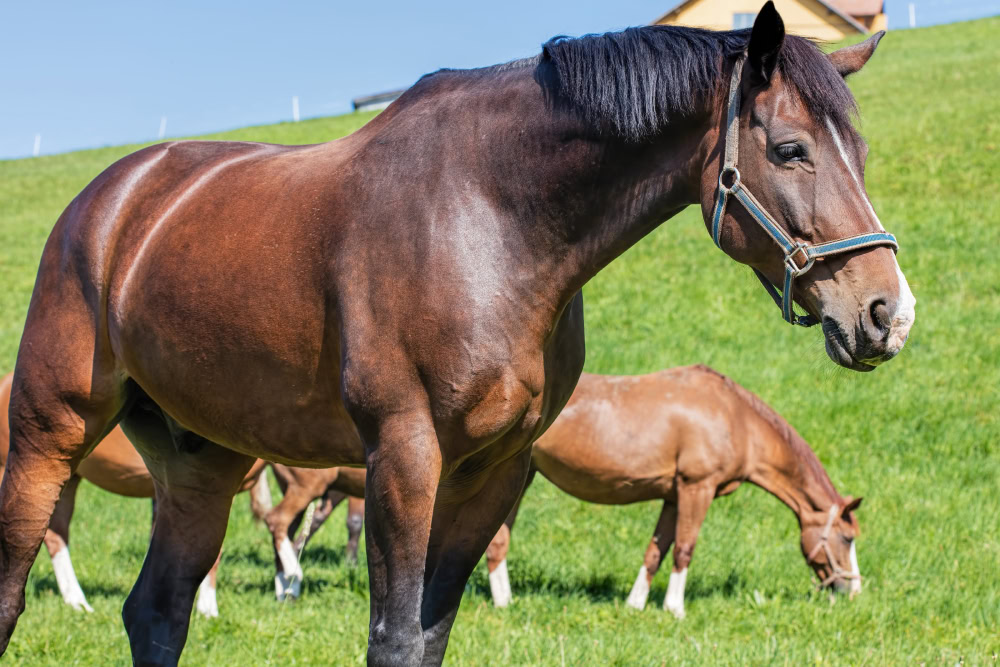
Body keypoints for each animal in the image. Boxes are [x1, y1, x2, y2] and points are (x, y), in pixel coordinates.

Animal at [483, 366, 862, 615]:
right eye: (847, 538)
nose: (853, 590)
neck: (736, 417)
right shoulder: (697, 489)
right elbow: (684, 549)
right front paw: (674, 608)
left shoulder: (672, 496)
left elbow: (656, 551)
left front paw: (636, 605)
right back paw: (504, 603)